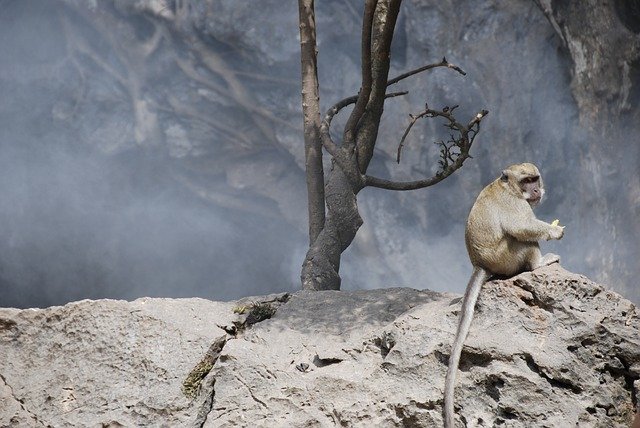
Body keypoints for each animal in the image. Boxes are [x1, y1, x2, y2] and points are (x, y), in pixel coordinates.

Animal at [442, 162, 564, 426]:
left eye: (535, 178)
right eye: (527, 181)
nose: (536, 190)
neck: (510, 188)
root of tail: (481, 264)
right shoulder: (515, 204)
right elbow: (520, 227)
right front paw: (554, 231)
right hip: (507, 258)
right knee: (522, 239)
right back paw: (538, 263)